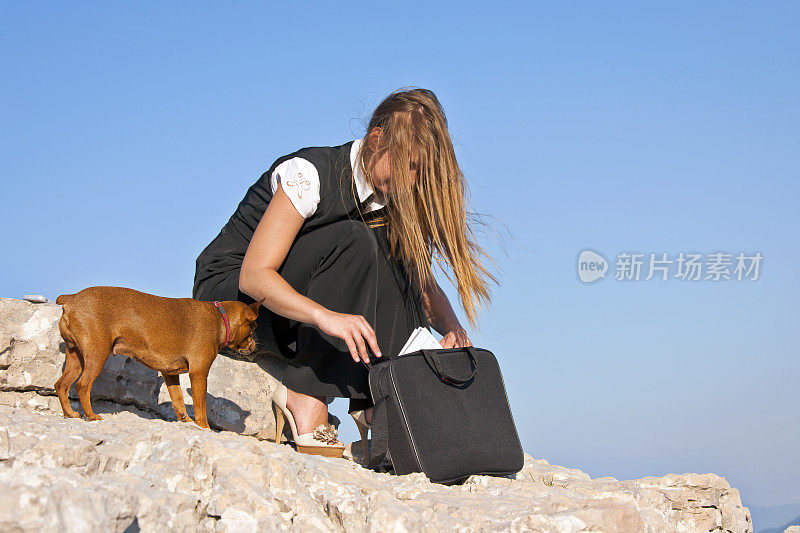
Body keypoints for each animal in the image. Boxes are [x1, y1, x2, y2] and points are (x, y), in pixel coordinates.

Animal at [54, 286, 266, 428]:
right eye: (253, 327)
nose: (255, 344)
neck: (220, 318)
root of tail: (72, 298)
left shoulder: (170, 373)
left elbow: (178, 400)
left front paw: (186, 421)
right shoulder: (199, 373)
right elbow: (201, 408)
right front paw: (203, 428)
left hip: (76, 357)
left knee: (61, 384)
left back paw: (70, 413)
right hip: (97, 354)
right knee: (82, 385)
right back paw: (91, 415)